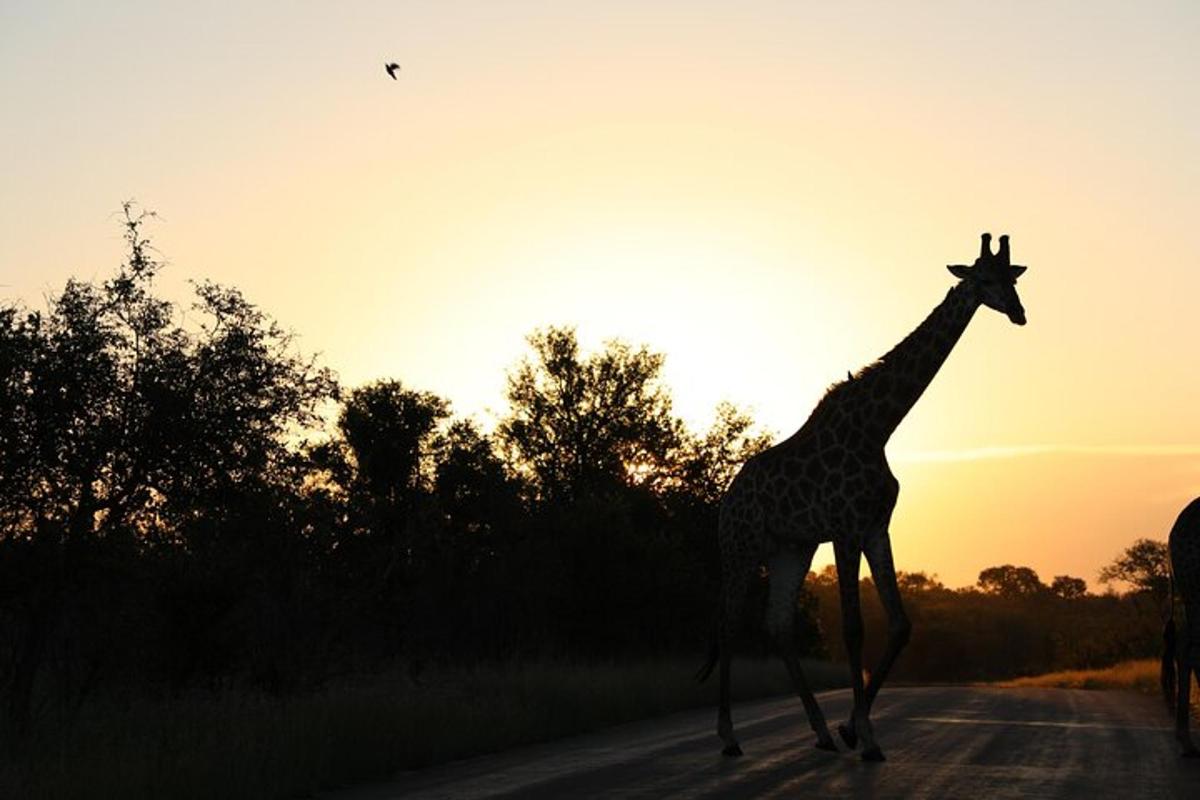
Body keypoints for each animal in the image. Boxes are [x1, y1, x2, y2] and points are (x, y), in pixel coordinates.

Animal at [700, 232, 1027, 762]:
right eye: (982, 279)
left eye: (1011, 279)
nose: (1019, 313)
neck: (878, 428)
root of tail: (728, 498)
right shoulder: (845, 528)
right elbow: (853, 629)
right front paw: (868, 738)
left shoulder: (875, 526)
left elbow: (900, 624)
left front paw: (852, 728)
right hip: (740, 546)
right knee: (730, 622)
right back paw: (729, 737)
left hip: (790, 548)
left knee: (777, 623)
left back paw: (820, 732)